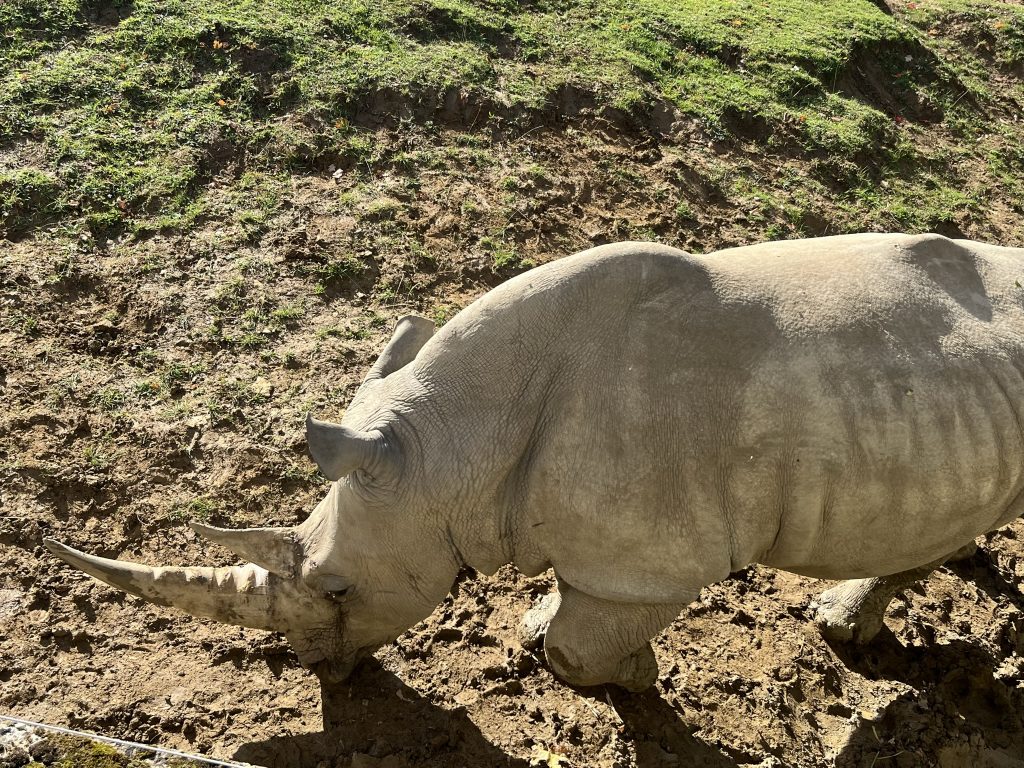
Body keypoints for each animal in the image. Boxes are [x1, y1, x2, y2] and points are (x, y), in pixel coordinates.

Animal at [46, 233, 1024, 692]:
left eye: (336, 589)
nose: (317, 665)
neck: (450, 445)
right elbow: (564, 609)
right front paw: (534, 625)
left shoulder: (652, 563)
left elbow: (578, 653)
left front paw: (636, 675)